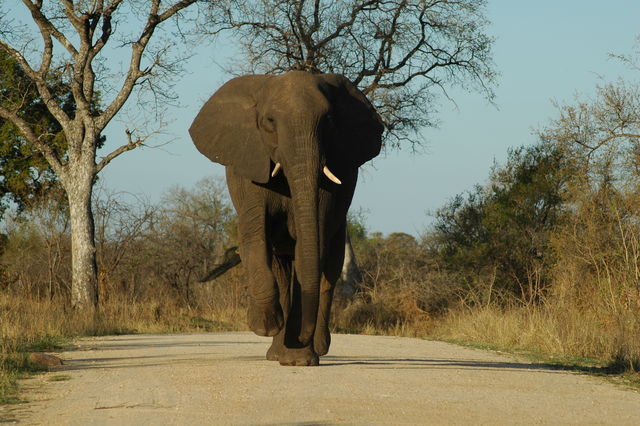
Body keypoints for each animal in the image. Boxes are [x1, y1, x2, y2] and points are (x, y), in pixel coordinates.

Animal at [188, 70, 382, 366]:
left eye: (329, 121)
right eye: (269, 121)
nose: (302, 337)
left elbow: (311, 246)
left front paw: (299, 359)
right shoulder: (252, 165)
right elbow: (255, 234)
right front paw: (264, 324)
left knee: (330, 268)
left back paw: (313, 348)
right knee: (281, 269)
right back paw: (277, 351)